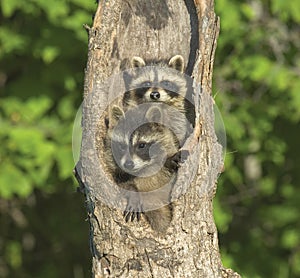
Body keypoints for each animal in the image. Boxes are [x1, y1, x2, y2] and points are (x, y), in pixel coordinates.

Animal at [103, 103, 184, 231]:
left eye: (141, 145)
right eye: (122, 146)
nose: (128, 164)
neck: (143, 169)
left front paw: (168, 161)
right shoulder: (115, 171)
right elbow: (123, 183)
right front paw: (134, 195)